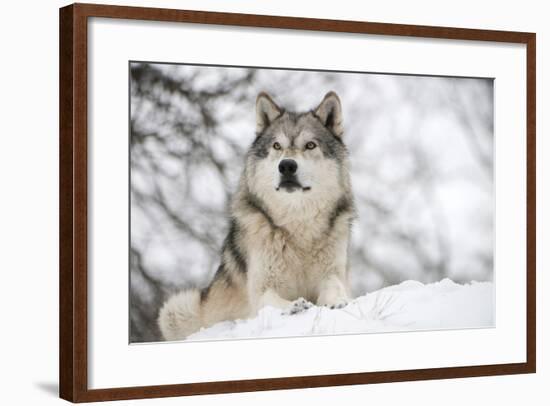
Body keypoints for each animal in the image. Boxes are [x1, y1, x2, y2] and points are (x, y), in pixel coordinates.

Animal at [160, 91, 358, 340]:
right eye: (277, 146)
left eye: (310, 145)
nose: (287, 166)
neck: (297, 228)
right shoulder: (261, 288)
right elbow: (271, 300)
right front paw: (294, 306)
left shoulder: (333, 273)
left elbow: (334, 286)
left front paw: (337, 301)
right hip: (176, 308)